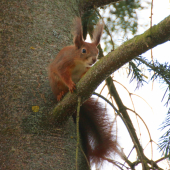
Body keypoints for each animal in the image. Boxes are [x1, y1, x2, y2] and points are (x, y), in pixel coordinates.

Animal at [48, 17, 118, 165]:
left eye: (97, 51)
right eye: (84, 50)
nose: (94, 59)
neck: (80, 63)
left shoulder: (86, 69)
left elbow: (85, 73)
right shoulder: (63, 64)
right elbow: (63, 74)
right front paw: (70, 84)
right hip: (55, 83)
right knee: (58, 88)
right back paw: (61, 94)